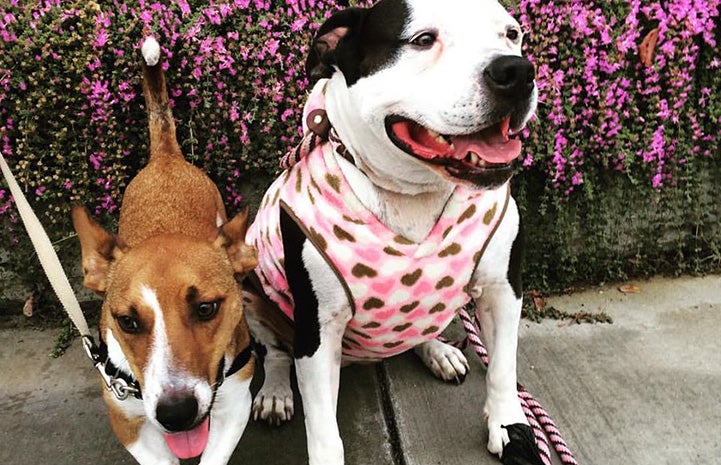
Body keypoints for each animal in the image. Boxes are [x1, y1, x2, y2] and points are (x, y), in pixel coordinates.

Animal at [71, 37, 258, 464]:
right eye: (127, 321)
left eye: (206, 308)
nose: (176, 414)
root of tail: (166, 157)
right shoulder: (128, 420)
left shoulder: (235, 401)